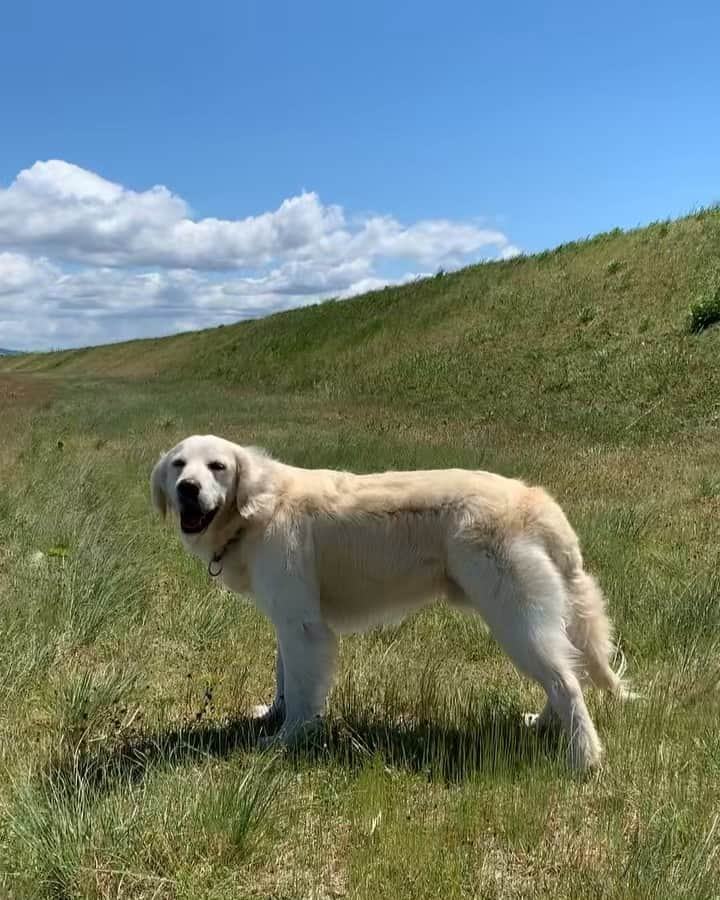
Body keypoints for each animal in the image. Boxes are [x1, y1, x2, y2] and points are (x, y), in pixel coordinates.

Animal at [152, 434, 632, 768]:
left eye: (217, 466)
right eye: (179, 464)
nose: (188, 488)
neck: (258, 509)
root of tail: (539, 502)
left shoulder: (303, 627)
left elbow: (304, 692)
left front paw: (287, 739)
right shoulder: (288, 623)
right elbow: (284, 679)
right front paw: (271, 715)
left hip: (514, 618)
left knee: (567, 684)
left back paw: (584, 760)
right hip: (530, 622)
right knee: (566, 673)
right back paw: (543, 726)